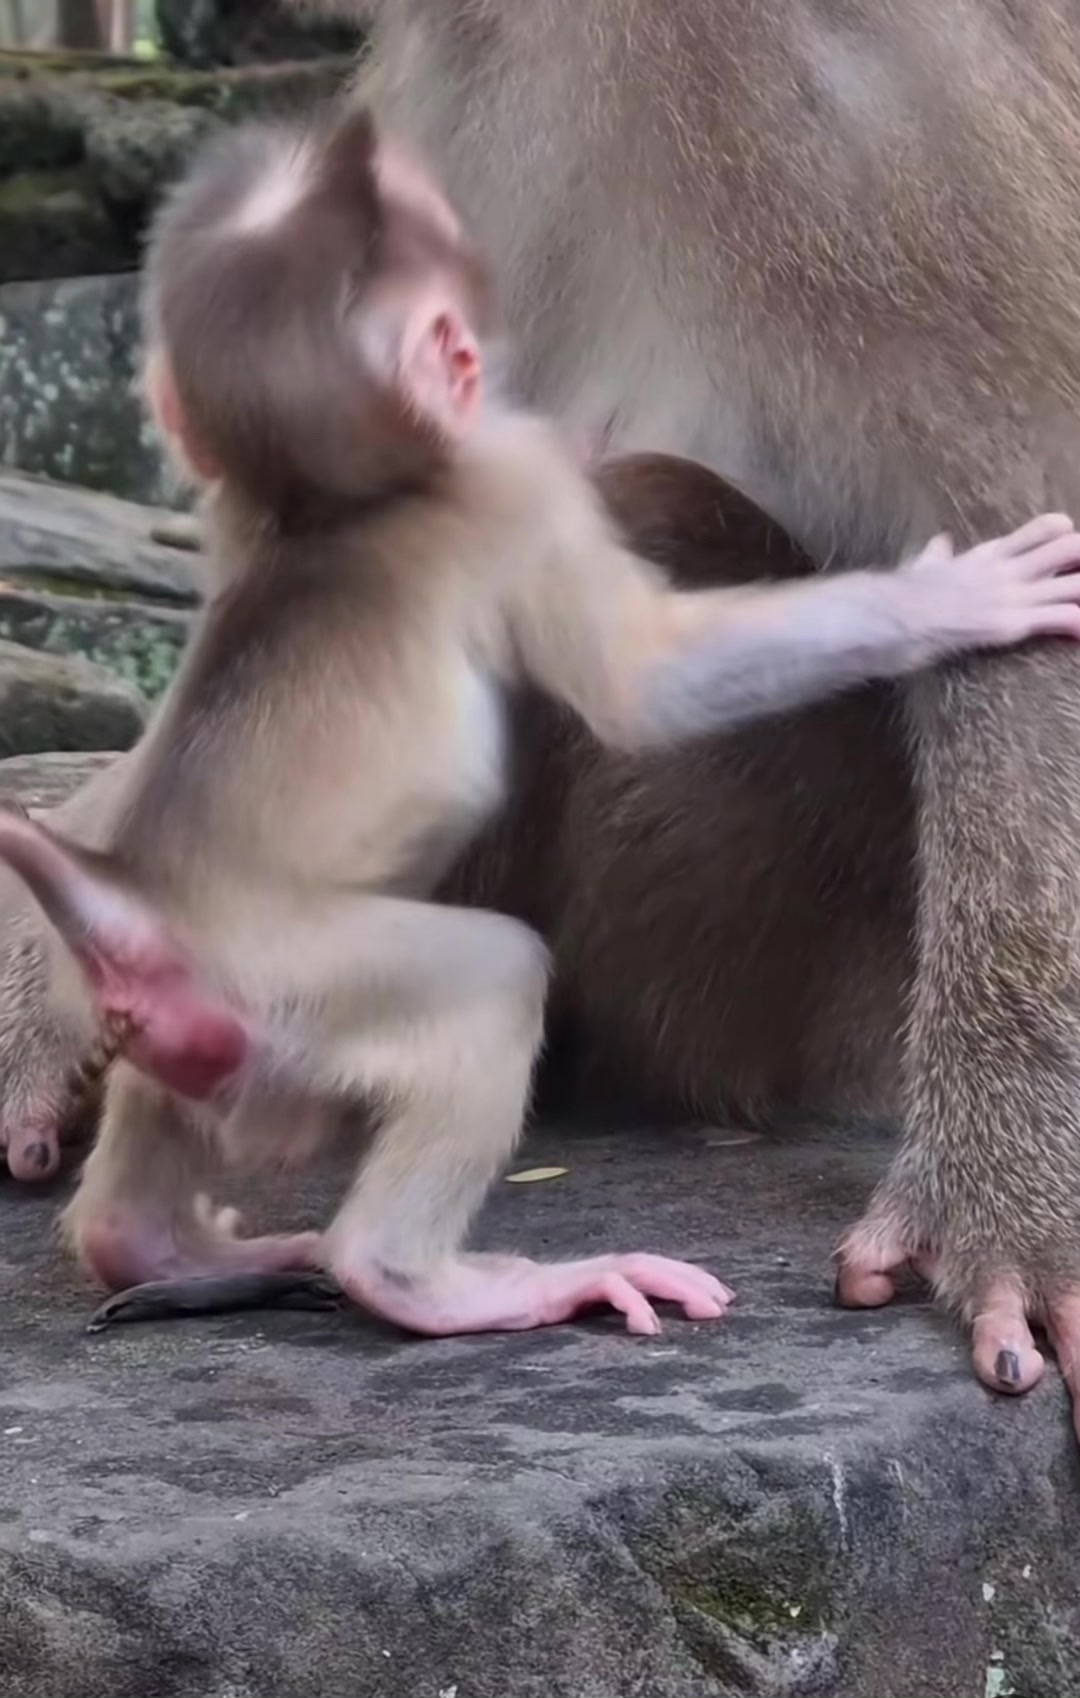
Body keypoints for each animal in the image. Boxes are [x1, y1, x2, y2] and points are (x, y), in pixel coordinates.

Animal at [5, 103, 1080, 1341]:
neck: (334, 500)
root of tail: (137, 930)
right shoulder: (517, 485)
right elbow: (642, 682)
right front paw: (950, 599)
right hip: (290, 986)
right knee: (493, 983)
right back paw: (427, 1278)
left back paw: (147, 1242)